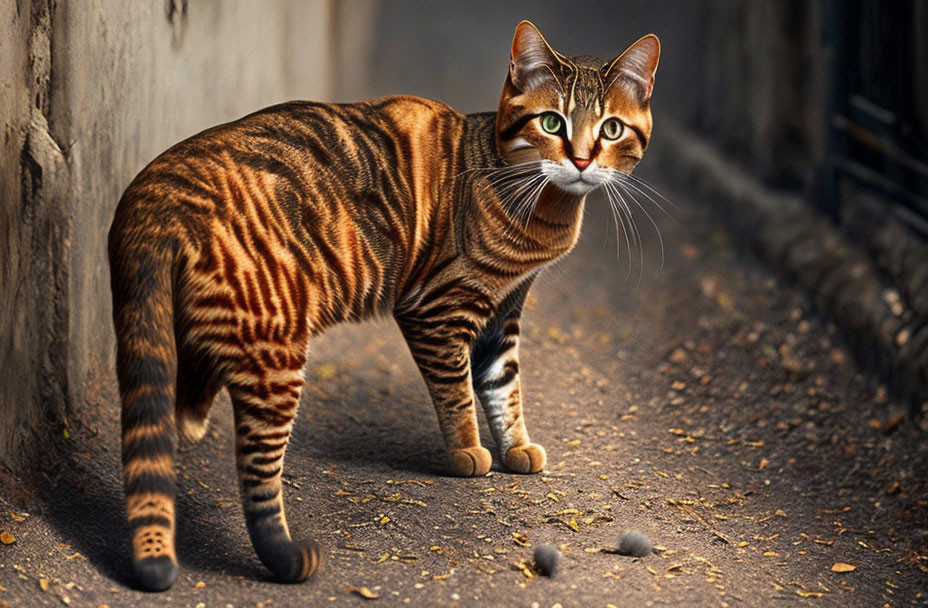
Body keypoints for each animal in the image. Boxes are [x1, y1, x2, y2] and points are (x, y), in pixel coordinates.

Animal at [109, 20, 660, 588]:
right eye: (552, 122)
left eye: (611, 130)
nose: (581, 160)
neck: (539, 208)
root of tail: (156, 191)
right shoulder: (437, 308)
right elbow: (458, 392)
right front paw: (468, 450)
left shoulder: (504, 312)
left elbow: (504, 386)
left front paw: (515, 446)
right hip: (274, 348)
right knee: (256, 472)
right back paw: (283, 552)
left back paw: (191, 416)